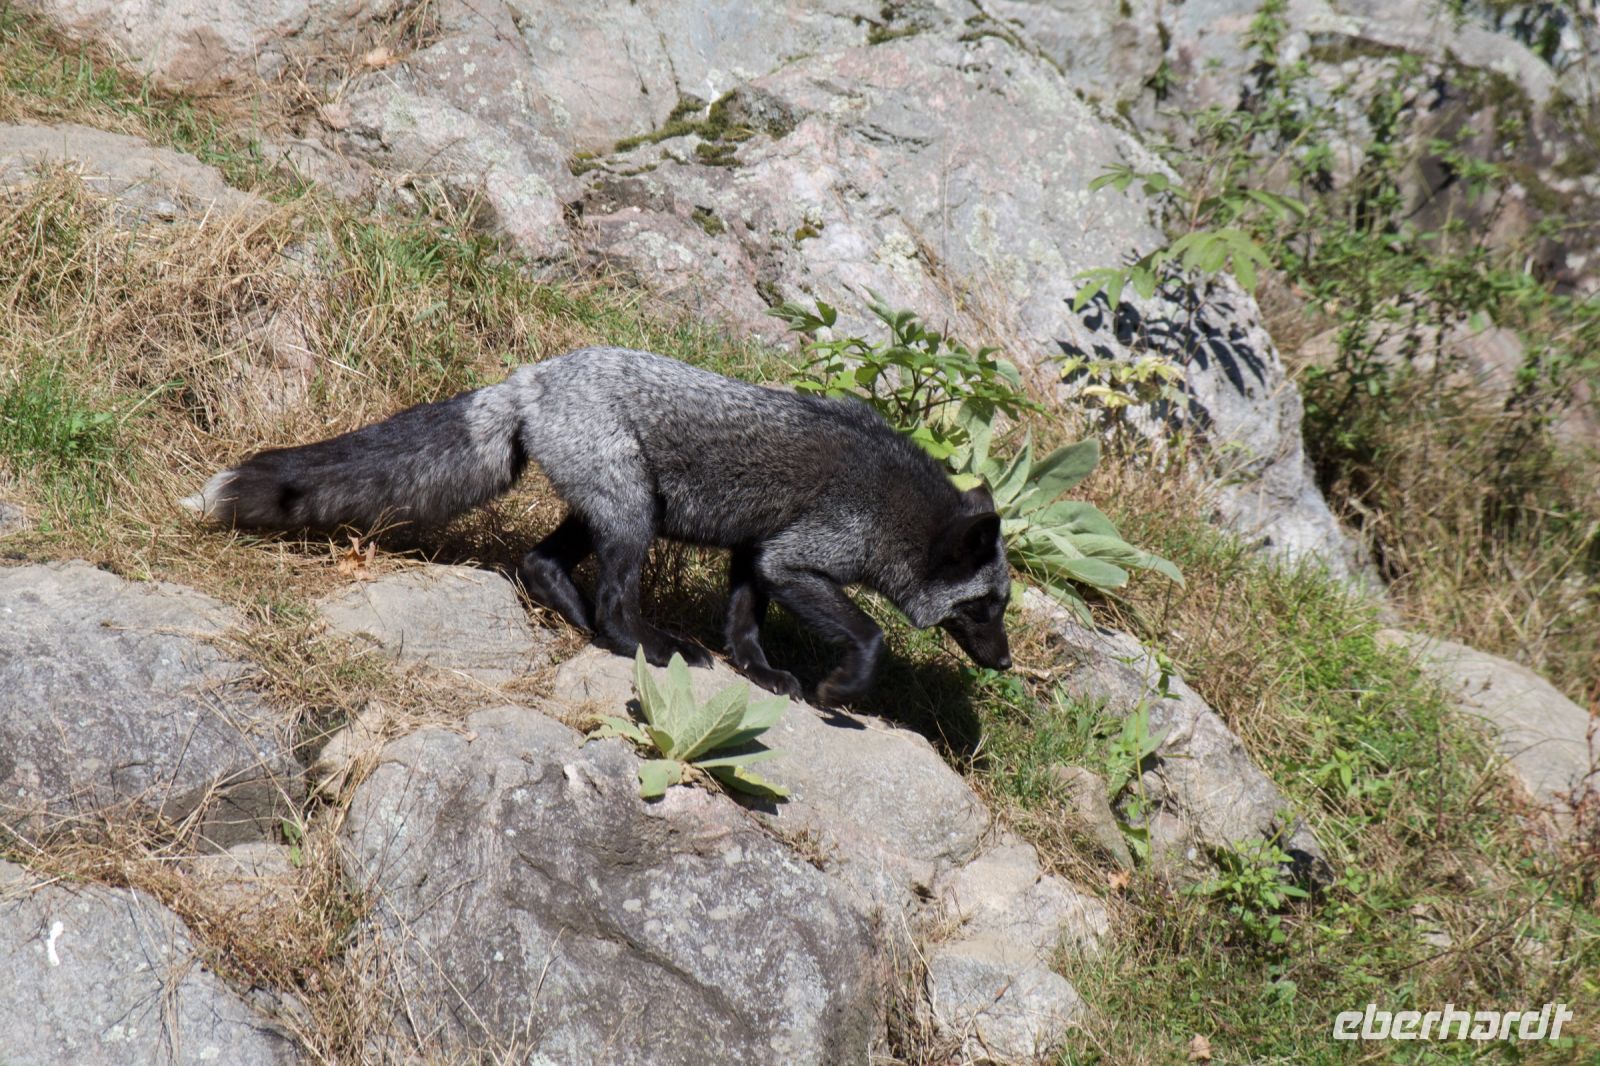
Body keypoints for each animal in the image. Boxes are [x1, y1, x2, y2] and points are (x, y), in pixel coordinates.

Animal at [184, 347, 1012, 705]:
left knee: (540, 563)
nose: (1005, 663)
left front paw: (761, 673)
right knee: (613, 602)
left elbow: (745, 621)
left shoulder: (757, 550)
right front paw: (842, 687)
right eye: (988, 607)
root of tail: (530, 377)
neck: (898, 507)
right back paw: (645, 646)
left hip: (610, 509)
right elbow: (869, 635)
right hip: (632, 514)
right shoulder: (797, 559)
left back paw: (581, 622)